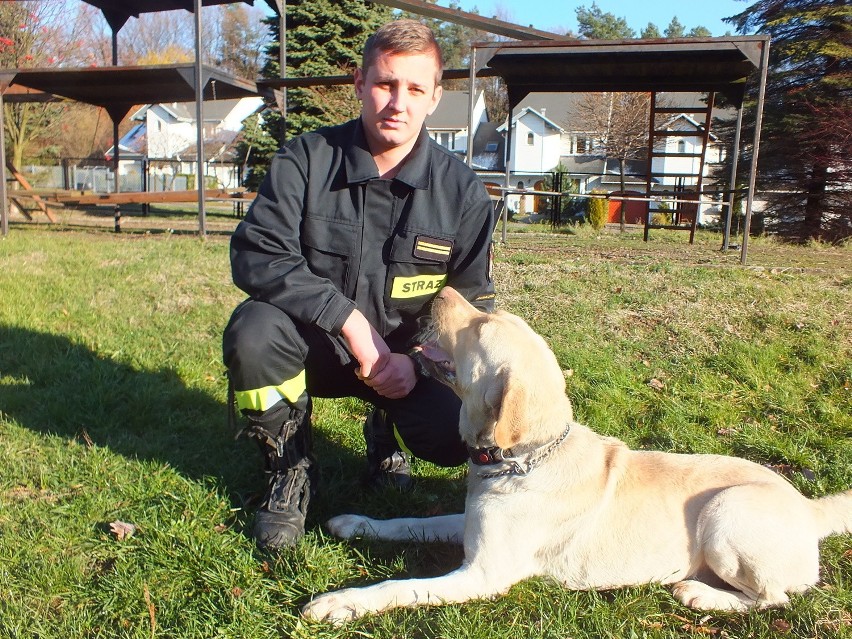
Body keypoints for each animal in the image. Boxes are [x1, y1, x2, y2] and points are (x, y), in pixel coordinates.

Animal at [304, 288, 852, 624]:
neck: (524, 458)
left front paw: (339, 603)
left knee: (774, 597)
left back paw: (701, 593)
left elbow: (399, 587)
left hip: (726, 511)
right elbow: (410, 523)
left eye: (480, 328)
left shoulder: (484, 574)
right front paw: (357, 523)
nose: (439, 294)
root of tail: (809, 507)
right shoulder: (470, 525)